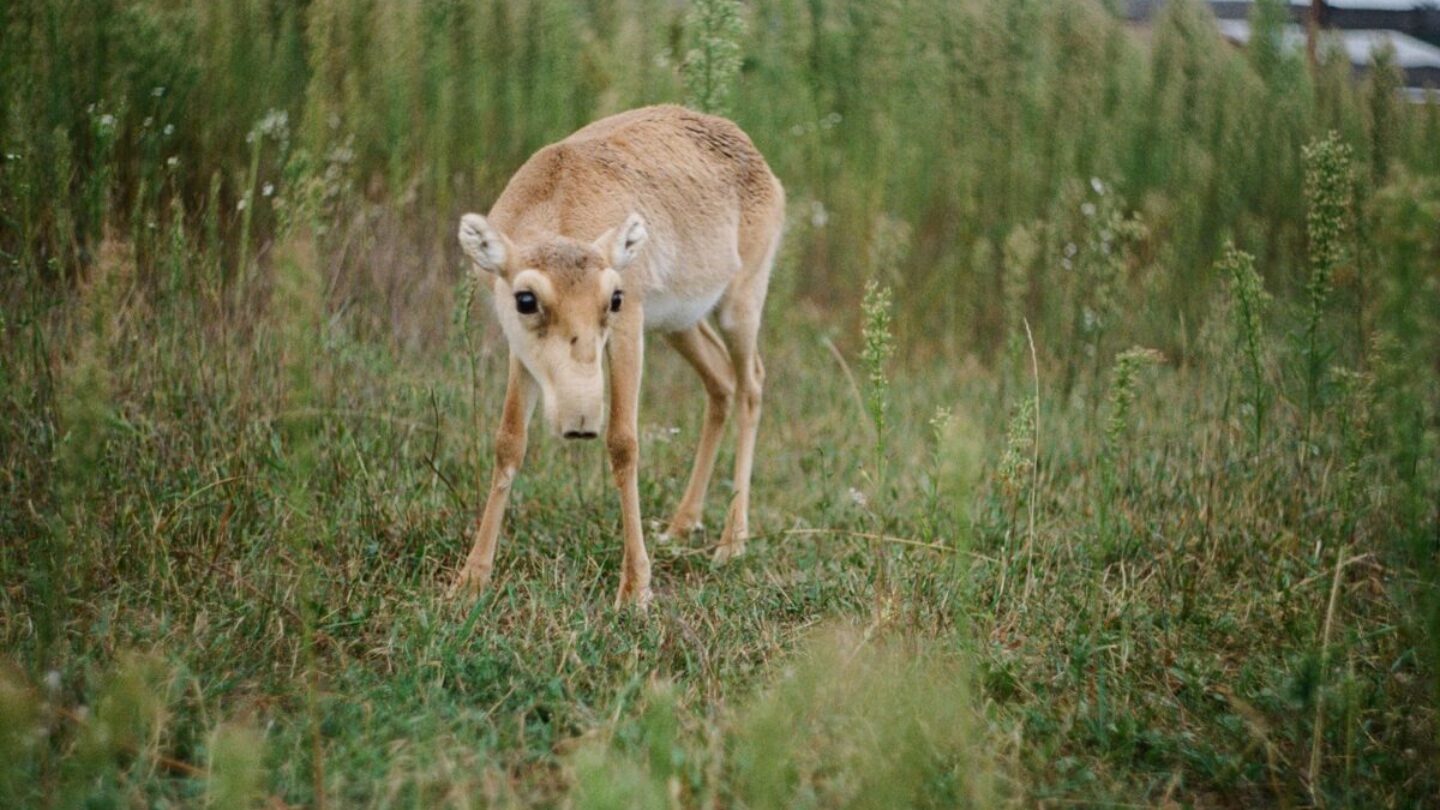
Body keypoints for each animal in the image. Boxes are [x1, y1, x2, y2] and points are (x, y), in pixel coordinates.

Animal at [452, 103, 783, 605]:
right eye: (525, 299)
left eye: (614, 298)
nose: (580, 421)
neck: (558, 201)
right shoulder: (520, 350)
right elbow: (508, 442)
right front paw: (471, 580)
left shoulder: (629, 330)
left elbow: (623, 442)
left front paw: (635, 587)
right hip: (679, 324)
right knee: (721, 384)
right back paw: (681, 525)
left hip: (739, 304)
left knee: (752, 385)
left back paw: (731, 542)